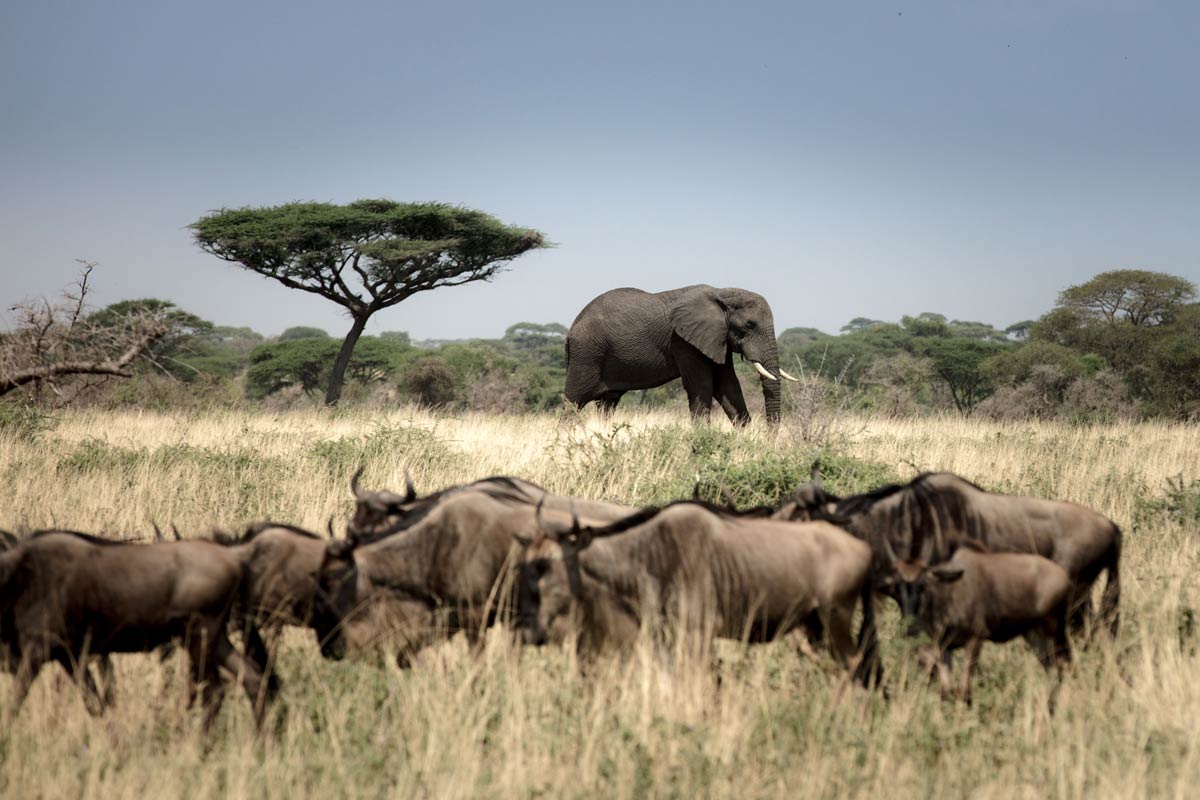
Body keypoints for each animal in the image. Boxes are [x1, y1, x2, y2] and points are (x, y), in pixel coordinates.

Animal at [561, 286, 796, 424]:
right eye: (749, 325)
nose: (771, 437)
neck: (722, 292)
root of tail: (571, 329)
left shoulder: (717, 338)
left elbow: (728, 385)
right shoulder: (683, 341)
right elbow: (702, 386)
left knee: (607, 403)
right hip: (586, 355)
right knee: (573, 402)